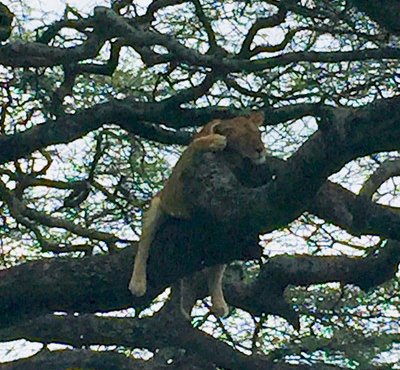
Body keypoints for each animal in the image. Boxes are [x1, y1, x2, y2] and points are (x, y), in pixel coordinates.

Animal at [128, 111, 266, 316]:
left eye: (258, 134)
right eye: (243, 137)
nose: (260, 150)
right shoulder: (184, 165)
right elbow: (196, 144)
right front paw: (217, 140)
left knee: (216, 269)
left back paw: (219, 305)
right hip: (156, 207)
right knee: (143, 249)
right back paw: (137, 284)